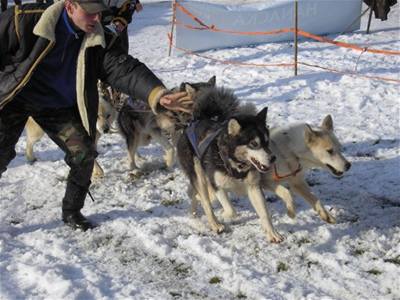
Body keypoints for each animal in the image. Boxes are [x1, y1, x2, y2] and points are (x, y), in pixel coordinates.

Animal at [177, 86, 282, 244]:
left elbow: (265, 213)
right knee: (205, 199)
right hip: (199, 174)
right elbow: (231, 210)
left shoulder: (254, 187)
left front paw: (272, 233)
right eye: (254, 144)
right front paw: (223, 214)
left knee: (195, 194)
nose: (273, 158)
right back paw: (215, 224)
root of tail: (197, 120)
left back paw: (194, 211)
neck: (235, 163)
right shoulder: (216, 184)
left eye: (266, 141)